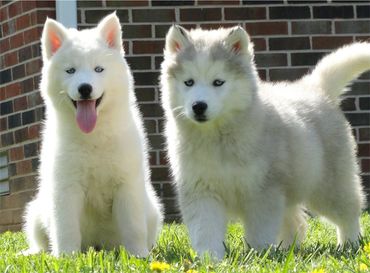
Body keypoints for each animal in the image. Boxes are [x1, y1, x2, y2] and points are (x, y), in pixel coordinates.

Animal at [23, 12, 162, 255]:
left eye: (99, 69)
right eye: (70, 70)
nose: (85, 88)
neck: (93, 135)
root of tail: (97, 246)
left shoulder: (127, 184)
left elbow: (133, 226)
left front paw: (138, 255)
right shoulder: (66, 186)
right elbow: (66, 227)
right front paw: (66, 256)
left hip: (153, 211)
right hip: (36, 212)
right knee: (40, 240)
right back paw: (34, 252)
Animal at [160, 25, 368, 258]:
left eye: (218, 82)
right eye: (189, 82)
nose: (198, 106)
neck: (218, 138)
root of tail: (317, 88)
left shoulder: (262, 192)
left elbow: (260, 229)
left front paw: (259, 254)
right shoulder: (202, 191)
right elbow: (206, 229)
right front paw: (210, 257)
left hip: (328, 186)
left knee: (348, 211)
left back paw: (350, 243)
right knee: (296, 222)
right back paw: (287, 248)